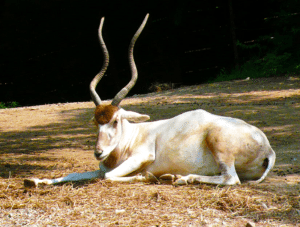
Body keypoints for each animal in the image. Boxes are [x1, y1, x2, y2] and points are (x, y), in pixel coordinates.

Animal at [24, 14, 276, 188]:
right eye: (96, 122)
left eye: (115, 121)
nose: (98, 152)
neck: (131, 136)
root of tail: (268, 147)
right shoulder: (100, 168)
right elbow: (76, 174)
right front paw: (35, 181)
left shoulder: (142, 156)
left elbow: (109, 176)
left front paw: (145, 176)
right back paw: (171, 175)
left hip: (219, 144)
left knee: (230, 179)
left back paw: (180, 178)